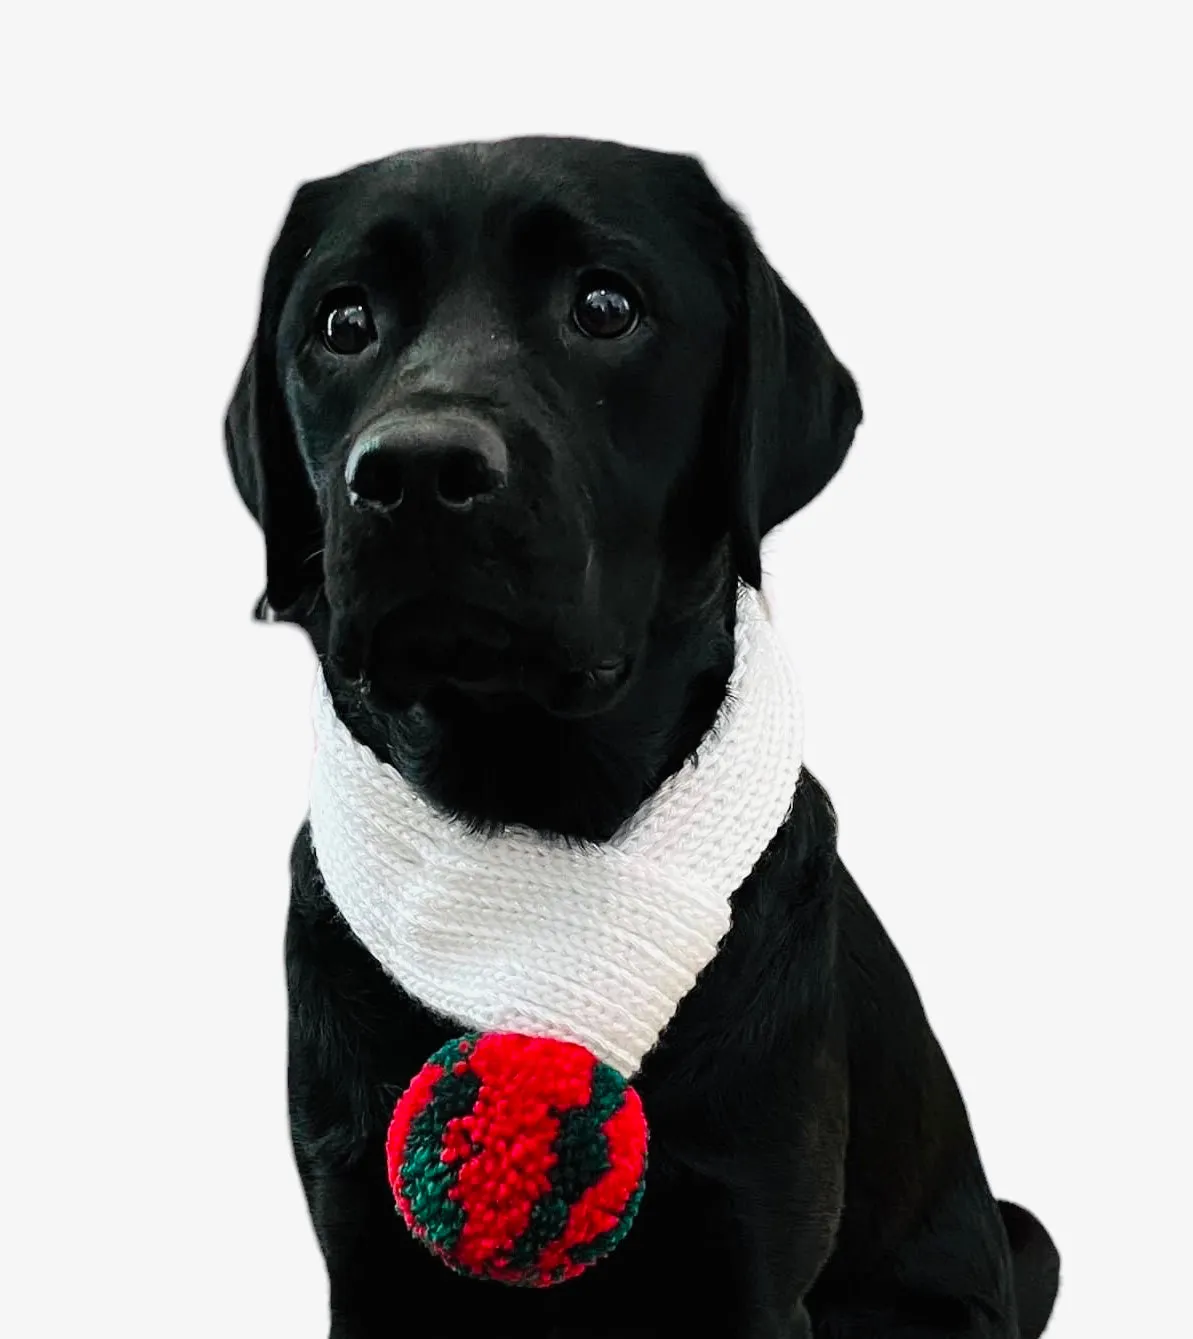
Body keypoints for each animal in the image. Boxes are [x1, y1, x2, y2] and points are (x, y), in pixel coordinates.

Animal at [226, 138, 1065, 1339]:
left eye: (606, 306)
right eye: (343, 322)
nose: (417, 470)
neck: (527, 813)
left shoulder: (748, 1247)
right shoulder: (362, 1245)